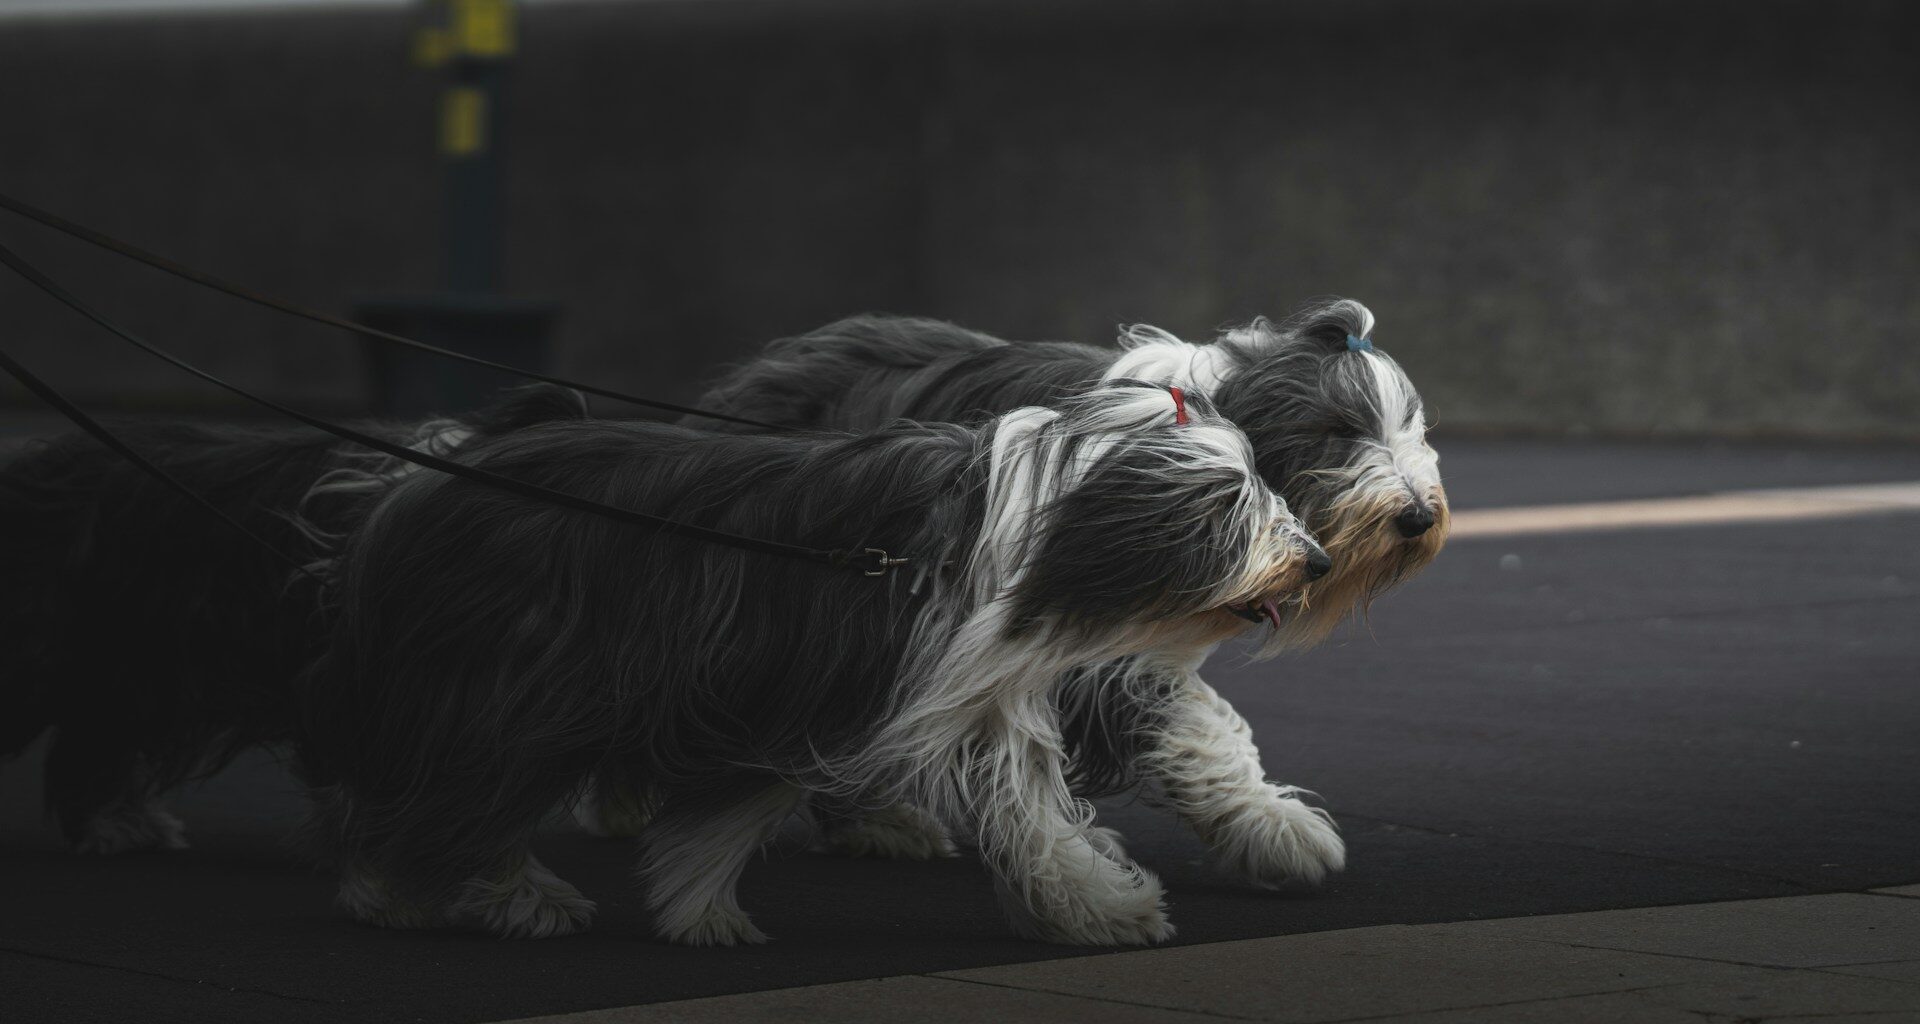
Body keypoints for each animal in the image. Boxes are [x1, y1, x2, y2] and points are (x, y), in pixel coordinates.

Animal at [299, 380, 1328, 941]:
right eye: (1232, 501)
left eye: (1263, 485)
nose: (1314, 561)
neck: (1032, 528)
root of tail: (432, 469)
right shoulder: (824, 681)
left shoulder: (886, 695)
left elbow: (1027, 813)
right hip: (514, 681)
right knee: (458, 788)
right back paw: (449, 891)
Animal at [668, 297, 1443, 887]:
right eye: (1338, 428)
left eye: (1416, 428)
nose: (1418, 518)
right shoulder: (1092, 625)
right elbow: (1191, 720)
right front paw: (1278, 826)